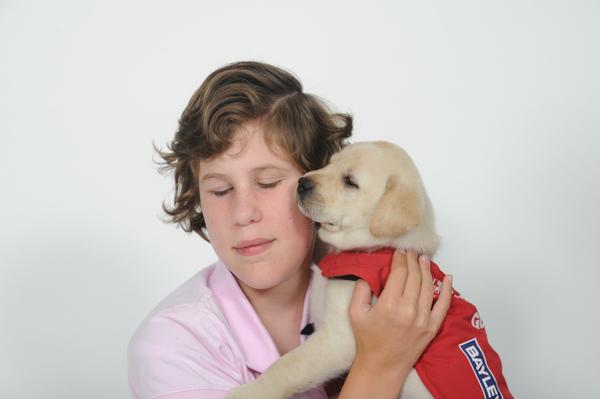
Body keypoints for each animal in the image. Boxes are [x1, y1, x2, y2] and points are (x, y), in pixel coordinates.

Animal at [225, 141, 510, 399]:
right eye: (330, 162)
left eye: (350, 181)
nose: (302, 183)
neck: (372, 249)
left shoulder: (339, 340)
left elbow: (288, 366)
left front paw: (249, 392)